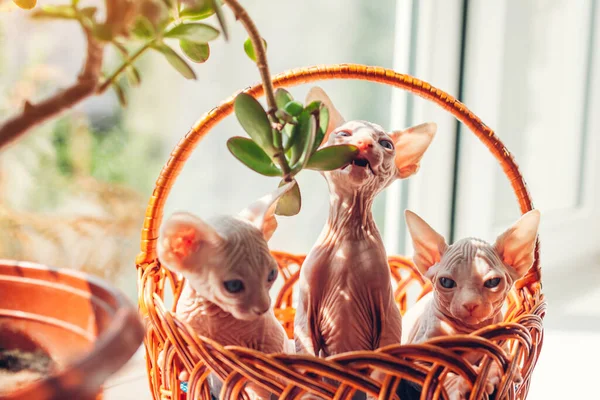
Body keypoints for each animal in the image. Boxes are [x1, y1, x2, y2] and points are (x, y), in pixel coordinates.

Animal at [156, 183, 294, 398]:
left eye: (272, 274)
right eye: (234, 286)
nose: (264, 307)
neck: (217, 317)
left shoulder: (272, 338)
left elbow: (267, 371)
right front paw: (173, 364)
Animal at [294, 86, 436, 396]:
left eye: (385, 144)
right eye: (344, 134)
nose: (363, 143)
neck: (348, 232)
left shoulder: (388, 314)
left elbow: (382, 368)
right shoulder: (305, 313)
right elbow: (308, 358)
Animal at [404, 209, 540, 400]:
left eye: (492, 282)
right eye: (446, 282)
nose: (470, 304)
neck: (470, 332)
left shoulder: (502, 345)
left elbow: (498, 358)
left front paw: (496, 372)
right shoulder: (417, 358)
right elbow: (442, 374)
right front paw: (462, 385)